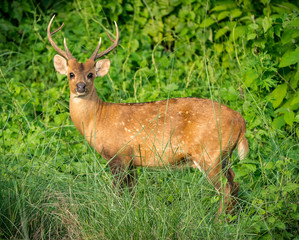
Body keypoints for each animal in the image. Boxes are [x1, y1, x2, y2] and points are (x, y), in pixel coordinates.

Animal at [46, 15, 248, 214]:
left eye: (90, 75)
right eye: (71, 74)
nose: (80, 87)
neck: (97, 118)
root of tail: (241, 121)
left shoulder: (119, 155)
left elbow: (117, 194)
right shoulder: (132, 162)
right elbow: (132, 194)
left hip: (209, 153)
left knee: (226, 188)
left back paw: (218, 219)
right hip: (223, 155)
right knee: (235, 183)